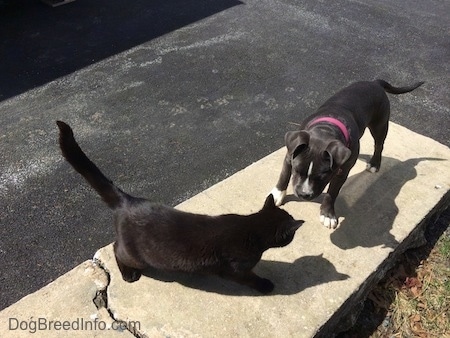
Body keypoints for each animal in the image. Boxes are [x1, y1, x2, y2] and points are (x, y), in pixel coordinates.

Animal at [56, 121, 302, 294]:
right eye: (291, 236)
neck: (253, 228)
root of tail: (127, 199)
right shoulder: (236, 270)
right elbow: (250, 278)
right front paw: (265, 285)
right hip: (136, 255)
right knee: (117, 249)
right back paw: (128, 274)